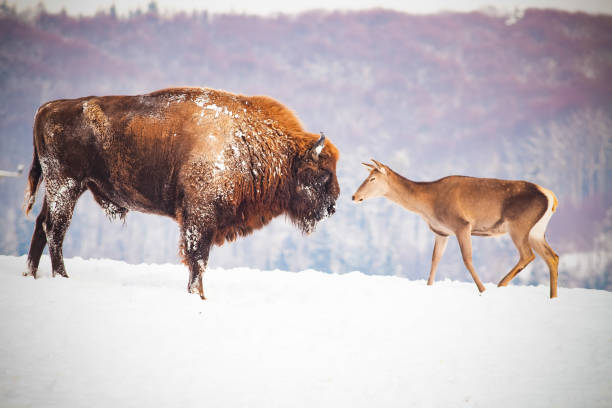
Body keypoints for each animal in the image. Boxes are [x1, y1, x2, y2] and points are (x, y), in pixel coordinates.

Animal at [23, 87, 340, 298]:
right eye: (324, 173)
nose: (333, 206)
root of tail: (47, 108)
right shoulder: (199, 216)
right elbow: (197, 258)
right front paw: (198, 295)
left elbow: (197, 259)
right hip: (66, 184)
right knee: (55, 229)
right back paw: (62, 277)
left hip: (58, 188)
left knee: (41, 225)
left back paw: (31, 275)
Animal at [354, 161, 560, 298]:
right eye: (367, 176)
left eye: (372, 178)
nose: (354, 196)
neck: (427, 206)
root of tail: (552, 197)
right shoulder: (441, 232)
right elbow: (435, 259)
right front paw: (429, 286)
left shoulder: (462, 224)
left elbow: (467, 259)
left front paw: (482, 290)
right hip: (536, 231)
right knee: (552, 256)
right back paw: (552, 296)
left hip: (519, 225)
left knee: (528, 255)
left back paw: (500, 284)